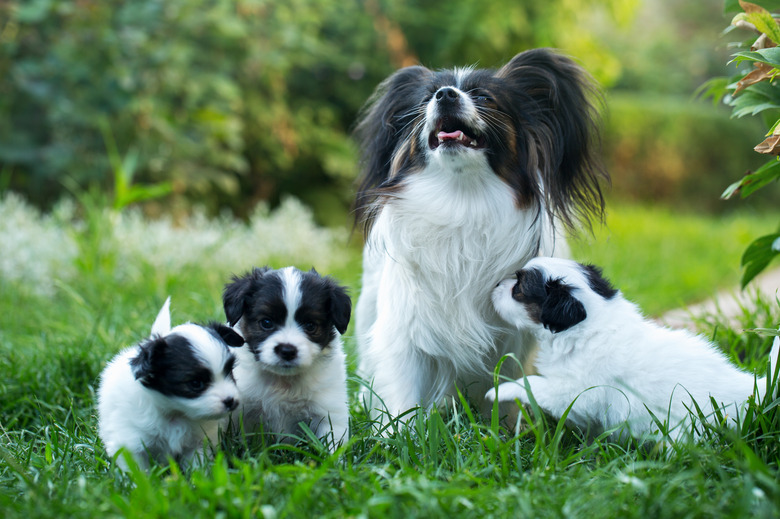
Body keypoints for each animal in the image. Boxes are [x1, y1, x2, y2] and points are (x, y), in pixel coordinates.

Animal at [97, 296, 244, 472]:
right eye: (195, 383)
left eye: (229, 371)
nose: (231, 401)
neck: (176, 413)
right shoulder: (131, 443)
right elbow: (138, 470)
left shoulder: (197, 442)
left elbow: (196, 464)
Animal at [221, 268, 352, 450]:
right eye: (266, 322)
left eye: (310, 325)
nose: (287, 350)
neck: (283, 381)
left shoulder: (328, 410)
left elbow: (333, 443)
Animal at [354, 48, 608, 420]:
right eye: (427, 99)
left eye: (484, 97)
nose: (445, 95)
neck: (462, 200)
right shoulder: (404, 330)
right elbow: (403, 396)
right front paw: (398, 430)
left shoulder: (513, 339)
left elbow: (505, 385)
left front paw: (507, 428)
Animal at [484, 258, 776, 440]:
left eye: (518, 289)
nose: (495, 285)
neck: (590, 323)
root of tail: (751, 389)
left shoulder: (576, 390)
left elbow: (535, 384)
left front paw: (500, 390)